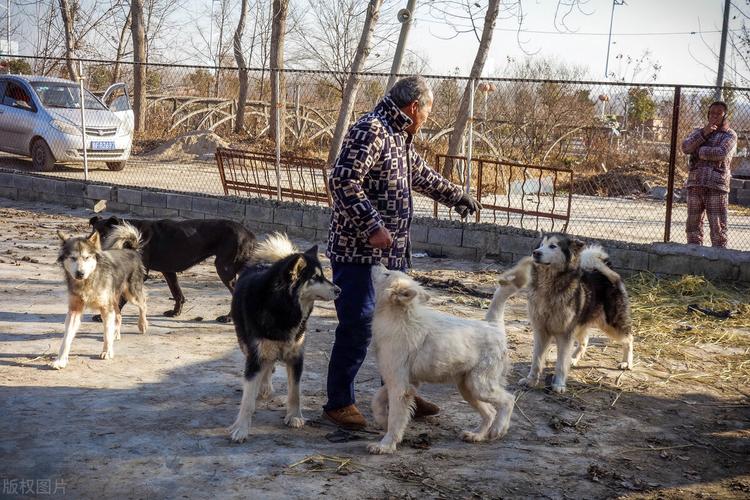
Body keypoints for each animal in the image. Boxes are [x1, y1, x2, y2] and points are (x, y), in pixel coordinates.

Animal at [53, 225, 148, 370]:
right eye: (73, 258)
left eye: (86, 257)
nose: (80, 273)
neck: (88, 281)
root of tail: (131, 250)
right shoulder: (74, 310)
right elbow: (67, 337)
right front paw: (61, 360)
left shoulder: (106, 308)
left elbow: (106, 333)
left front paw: (107, 352)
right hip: (114, 299)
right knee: (119, 315)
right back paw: (116, 333)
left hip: (131, 294)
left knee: (143, 303)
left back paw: (142, 325)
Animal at [89, 217, 256, 322]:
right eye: (91, 235)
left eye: (104, 235)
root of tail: (249, 233)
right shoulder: (168, 271)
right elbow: (177, 292)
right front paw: (176, 312)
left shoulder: (140, 274)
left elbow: (122, 296)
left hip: (224, 268)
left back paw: (228, 318)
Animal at [368, 268, 520, 456]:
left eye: (387, 274)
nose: (375, 264)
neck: (399, 318)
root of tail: (492, 325)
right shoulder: (404, 383)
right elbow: (376, 400)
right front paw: (382, 421)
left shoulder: (400, 387)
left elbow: (395, 418)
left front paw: (386, 445)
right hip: (468, 388)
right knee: (490, 411)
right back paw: (476, 435)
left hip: (480, 385)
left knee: (508, 399)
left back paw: (499, 429)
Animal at [502, 232, 636, 392]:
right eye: (541, 245)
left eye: (553, 246)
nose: (536, 253)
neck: (549, 287)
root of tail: (607, 273)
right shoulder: (541, 331)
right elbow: (536, 360)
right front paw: (531, 380)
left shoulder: (564, 334)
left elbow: (560, 363)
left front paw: (559, 384)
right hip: (580, 324)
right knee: (585, 340)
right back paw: (573, 358)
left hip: (611, 324)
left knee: (629, 338)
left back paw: (626, 362)